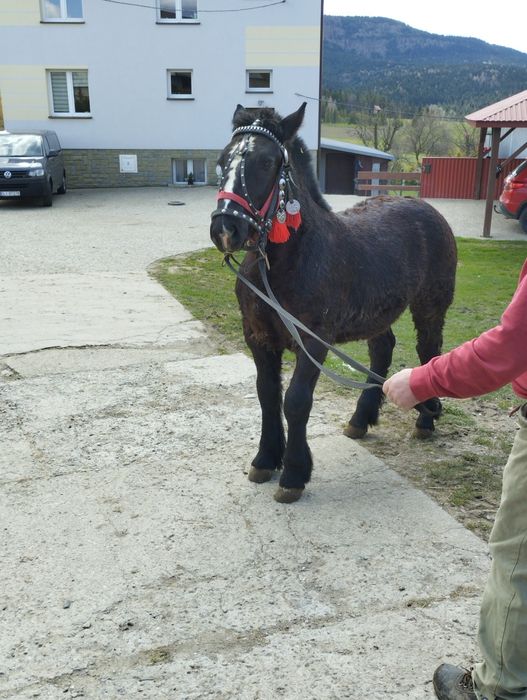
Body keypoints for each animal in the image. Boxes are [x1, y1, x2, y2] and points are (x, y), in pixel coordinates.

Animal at [210, 102, 458, 504]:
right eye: (221, 160)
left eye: (267, 162)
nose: (225, 229)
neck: (282, 264)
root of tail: (427, 208)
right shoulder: (258, 337)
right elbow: (266, 394)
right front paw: (265, 459)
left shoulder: (313, 340)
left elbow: (295, 400)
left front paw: (293, 474)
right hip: (377, 312)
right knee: (382, 348)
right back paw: (360, 420)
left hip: (431, 307)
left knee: (429, 352)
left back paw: (425, 418)